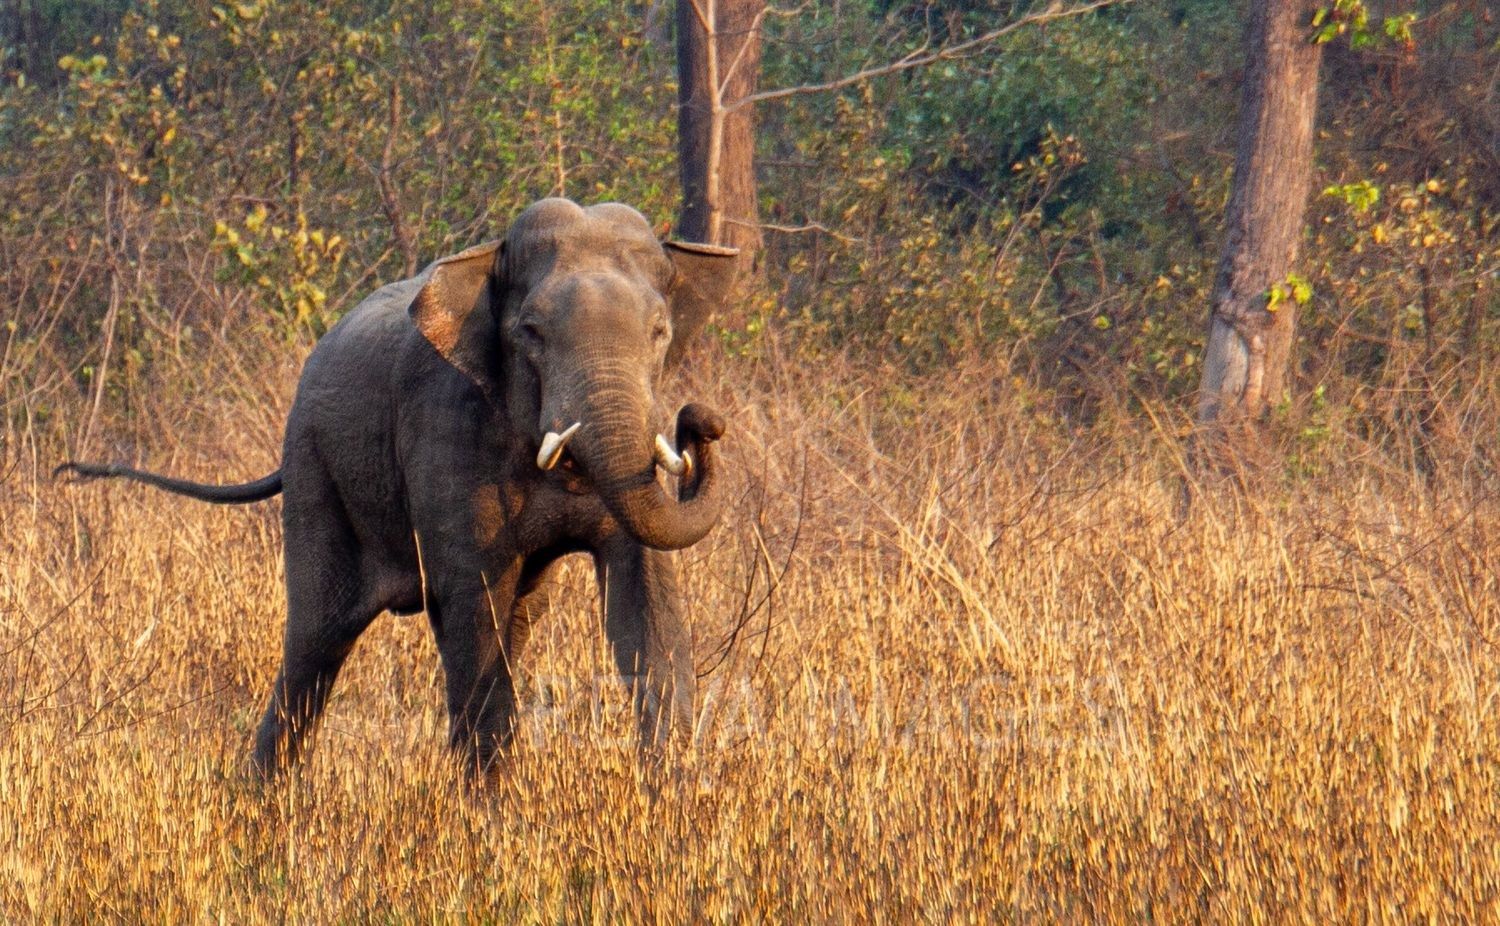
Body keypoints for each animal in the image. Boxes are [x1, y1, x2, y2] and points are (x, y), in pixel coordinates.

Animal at [58, 198, 740, 778]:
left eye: (659, 332)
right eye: (531, 332)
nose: (700, 422)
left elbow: (647, 606)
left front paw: (671, 796)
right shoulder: (444, 433)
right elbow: (471, 602)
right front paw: (493, 824)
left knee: (516, 618)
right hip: (315, 476)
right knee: (314, 643)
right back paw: (263, 805)